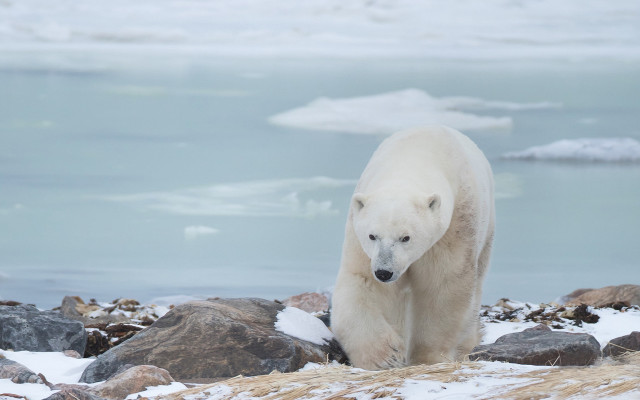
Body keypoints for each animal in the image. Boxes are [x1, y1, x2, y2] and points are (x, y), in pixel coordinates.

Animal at [331, 125, 495, 370]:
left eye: (406, 237)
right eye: (372, 235)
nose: (384, 272)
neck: (412, 158)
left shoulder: (455, 227)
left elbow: (443, 286)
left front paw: (427, 357)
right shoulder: (359, 241)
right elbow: (362, 282)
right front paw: (386, 357)